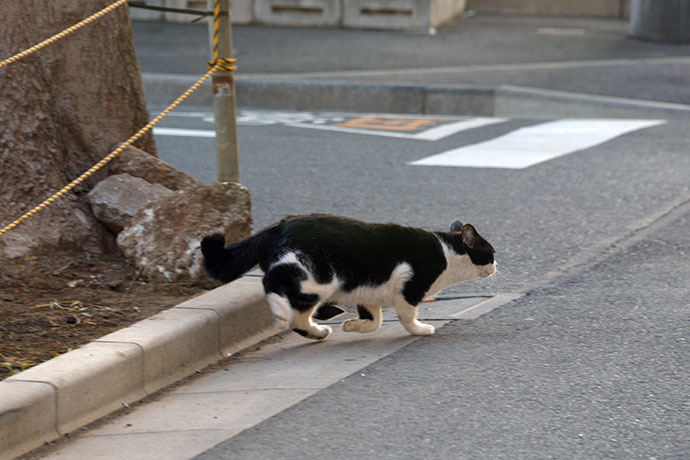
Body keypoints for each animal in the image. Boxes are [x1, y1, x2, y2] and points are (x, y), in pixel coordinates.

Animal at [199, 214, 494, 340]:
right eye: (490, 252)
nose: (496, 265)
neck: (447, 251)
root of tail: (280, 225)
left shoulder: (369, 290)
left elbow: (374, 320)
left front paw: (354, 326)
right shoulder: (409, 287)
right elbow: (407, 315)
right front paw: (420, 329)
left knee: (299, 316)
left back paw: (317, 331)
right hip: (316, 276)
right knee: (273, 285)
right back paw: (282, 314)